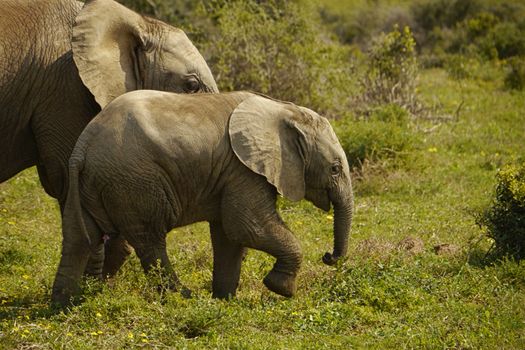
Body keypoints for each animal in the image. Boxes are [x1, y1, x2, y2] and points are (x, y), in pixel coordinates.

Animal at [51, 91, 352, 306]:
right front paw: (281, 289)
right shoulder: (243, 170)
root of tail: (83, 146)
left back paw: (64, 306)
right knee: (150, 240)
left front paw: (225, 300)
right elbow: (245, 226)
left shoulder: (232, 173)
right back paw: (182, 297)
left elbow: (229, 236)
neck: (283, 110)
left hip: (92, 183)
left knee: (78, 239)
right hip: (133, 181)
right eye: (335, 169)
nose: (328, 257)